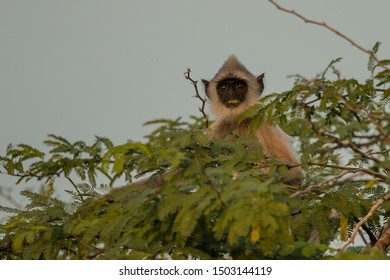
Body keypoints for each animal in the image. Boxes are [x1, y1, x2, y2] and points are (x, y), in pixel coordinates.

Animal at [203, 54, 304, 186]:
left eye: (239, 86)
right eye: (224, 87)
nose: (231, 94)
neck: (238, 121)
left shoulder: (262, 123)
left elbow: (295, 175)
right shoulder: (214, 132)